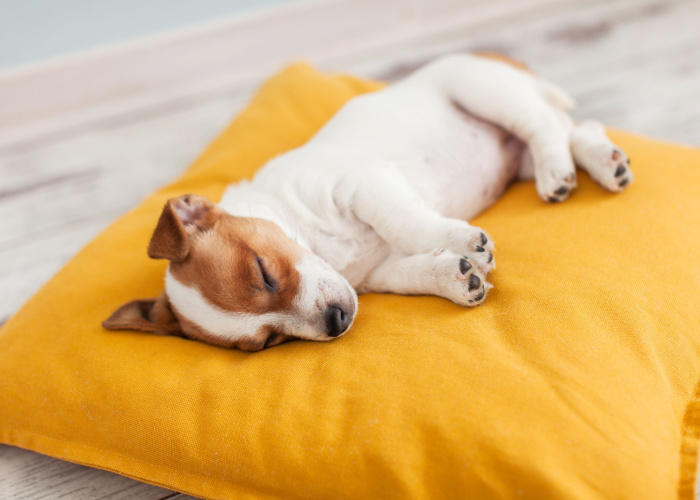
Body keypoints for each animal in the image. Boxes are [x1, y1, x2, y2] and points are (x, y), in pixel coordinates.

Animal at [105, 53, 636, 352]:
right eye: (266, 342)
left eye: (264, 272)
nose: (337, 322)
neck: (321, 246)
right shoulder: (379, 273)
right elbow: (417, 271)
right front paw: (456, 276)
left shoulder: (363, 184)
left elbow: (410, 224)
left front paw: (464, 240)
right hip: (515, 152)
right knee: (573, 129)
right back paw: (603, 162)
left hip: (483, 92)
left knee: (547, 126)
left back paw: (559, 174)